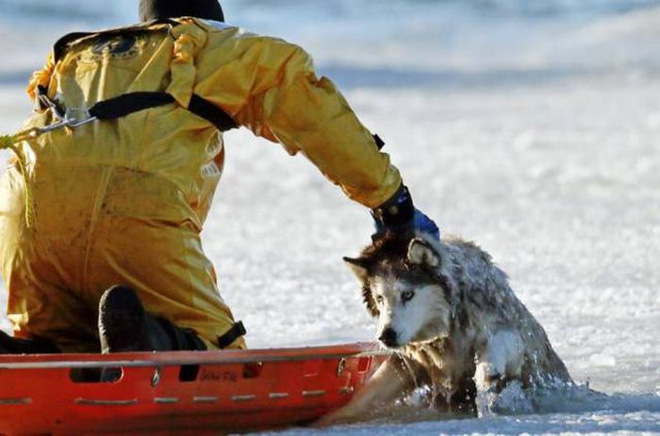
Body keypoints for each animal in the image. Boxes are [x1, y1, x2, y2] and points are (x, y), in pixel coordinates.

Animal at [324, 233, 572, 424]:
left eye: (407, 294)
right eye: (380, 298)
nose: (386, 336)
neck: (447, 334)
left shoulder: (510, 332)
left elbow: (497, 350)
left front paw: (486, 377)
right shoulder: (409, 363)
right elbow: (364, 398)